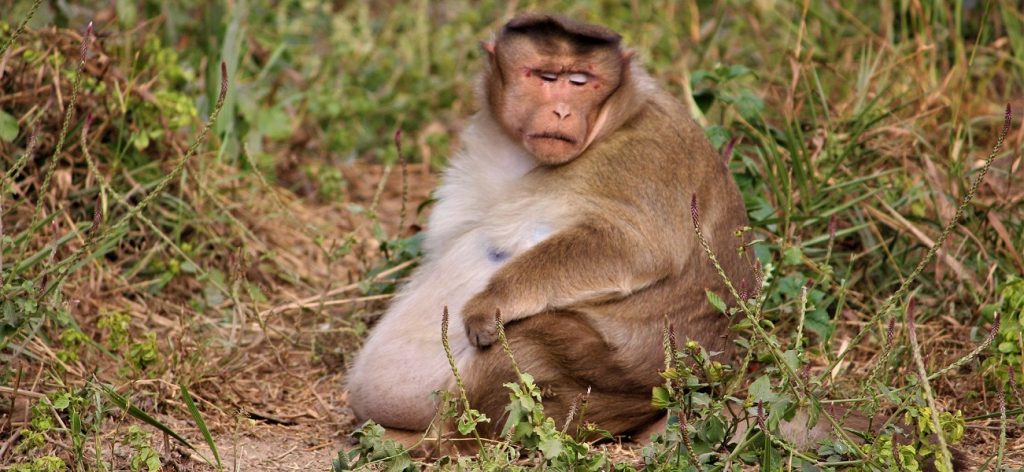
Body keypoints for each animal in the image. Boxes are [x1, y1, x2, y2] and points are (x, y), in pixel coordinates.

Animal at [345, 12, 755, 440]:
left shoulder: (648, 154)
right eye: (544, 76)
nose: (561, 111)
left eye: (580, 81)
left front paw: (490, 303)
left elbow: (636, 249)